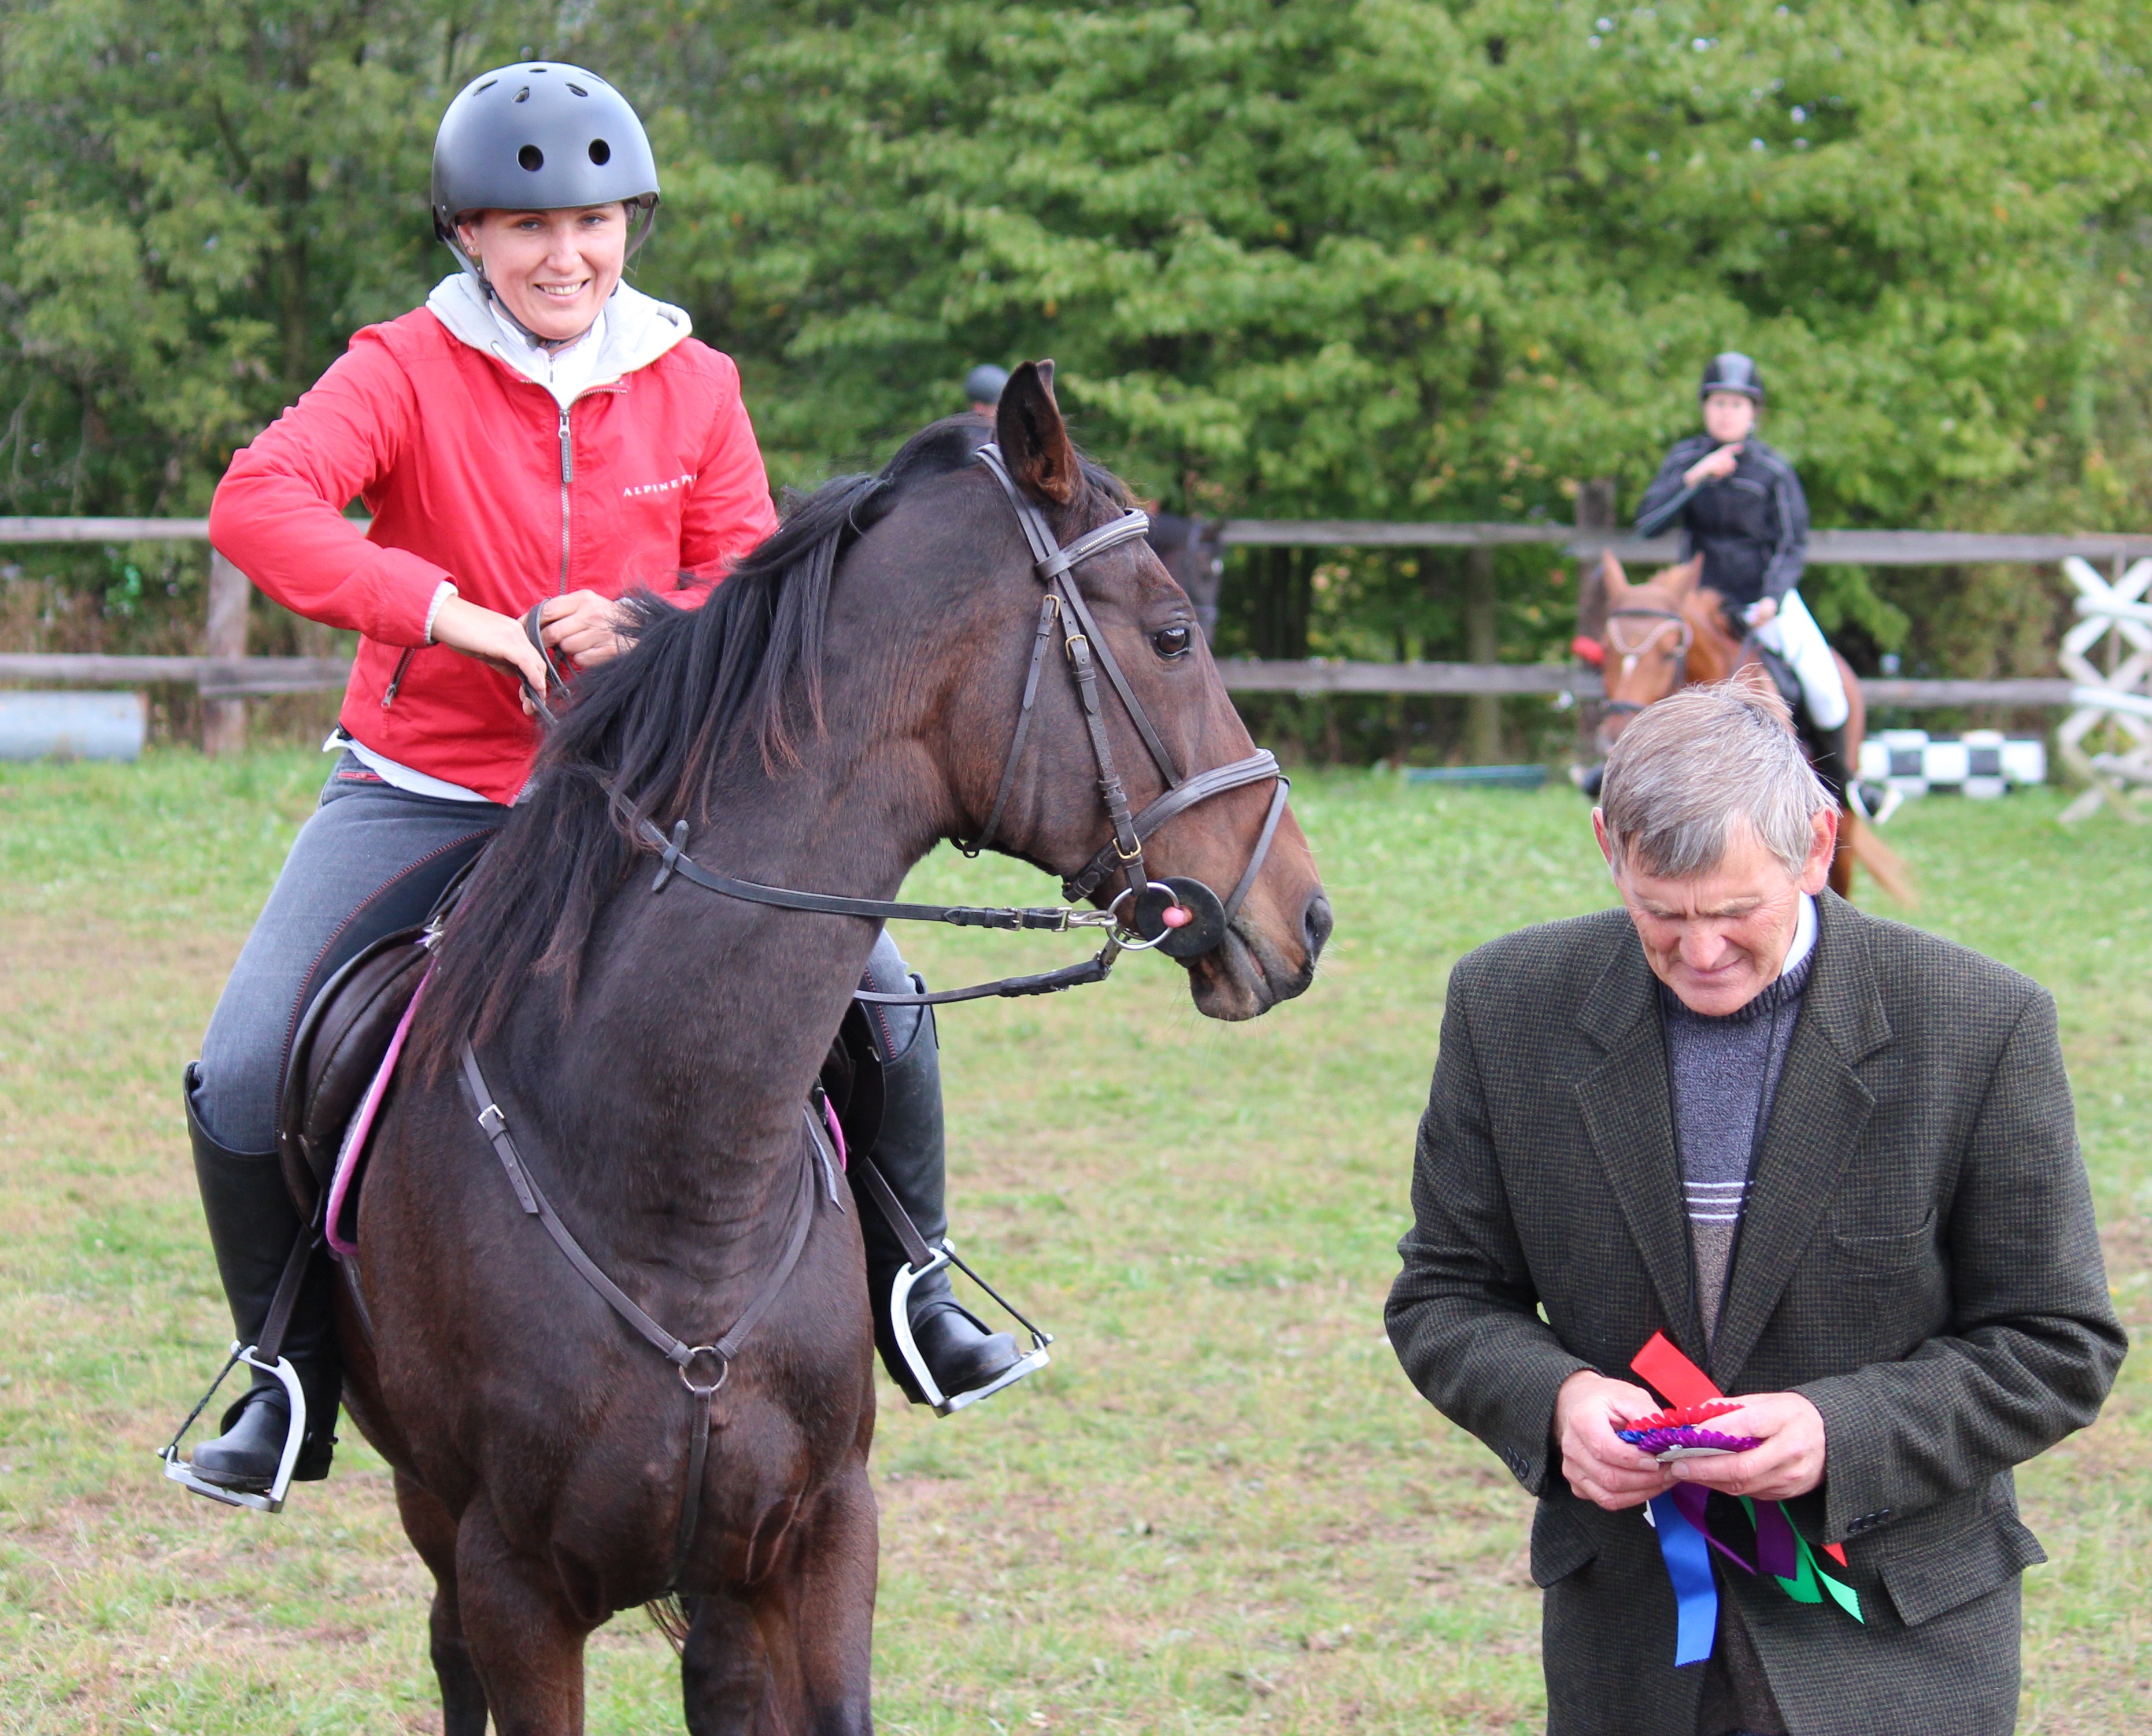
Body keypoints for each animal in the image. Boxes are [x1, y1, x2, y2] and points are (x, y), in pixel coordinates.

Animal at [331, 359, 1325, 1729]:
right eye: (1173, 633)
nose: (1306, 912)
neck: (671, 1174)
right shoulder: (513, 1582)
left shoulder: (816, 1538)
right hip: (438, 1519)